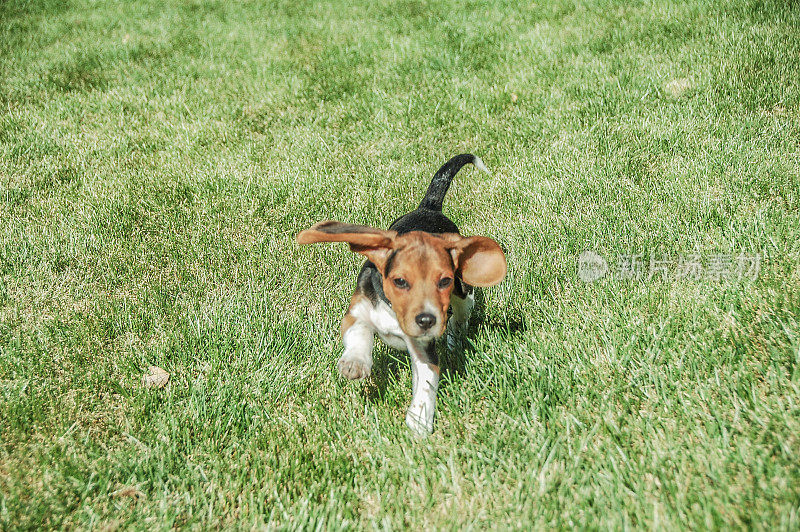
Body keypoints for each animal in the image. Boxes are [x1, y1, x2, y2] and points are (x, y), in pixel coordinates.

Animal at [296, 153, 504, 432]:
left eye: (444, 281)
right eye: (400, 282)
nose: (427, 320)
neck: (392, 312)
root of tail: (429, 208)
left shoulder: (424, 348)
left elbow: (426, 382)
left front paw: (419, 421)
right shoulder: (357, 310)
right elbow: (359, 332)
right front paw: (355, 363)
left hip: (464, 293)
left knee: (460, 317)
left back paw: (455, 341)